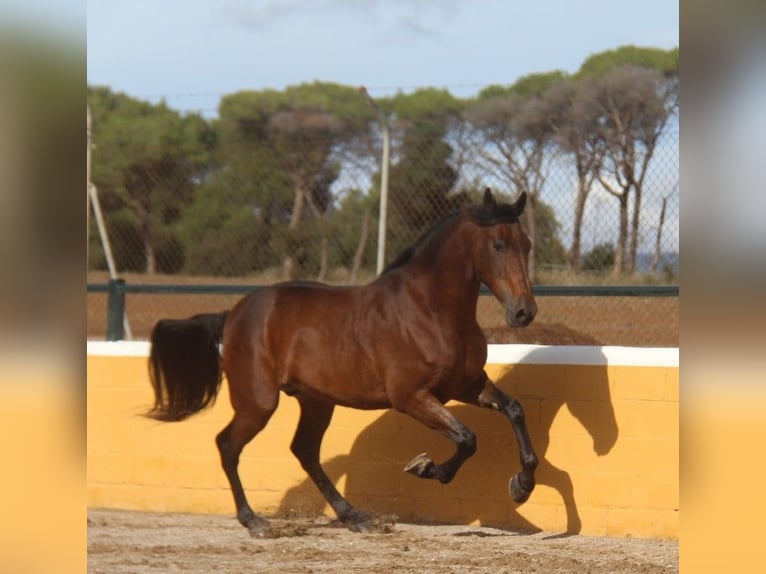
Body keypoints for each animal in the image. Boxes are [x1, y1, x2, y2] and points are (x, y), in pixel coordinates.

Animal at [147, 188, 539, 536]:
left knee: (304, 451)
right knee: (228, 445)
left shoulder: (467, 385)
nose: (524, 312)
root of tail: (232, 315)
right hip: (258, 402)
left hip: (316, 401)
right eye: (498, 245)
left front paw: (521, 485)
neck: (430, 310)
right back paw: (255, 522)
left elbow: (514, 410)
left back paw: (356, 517)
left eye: (527, 244)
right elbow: (467, 438)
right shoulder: (411, 398)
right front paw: (426, 468)